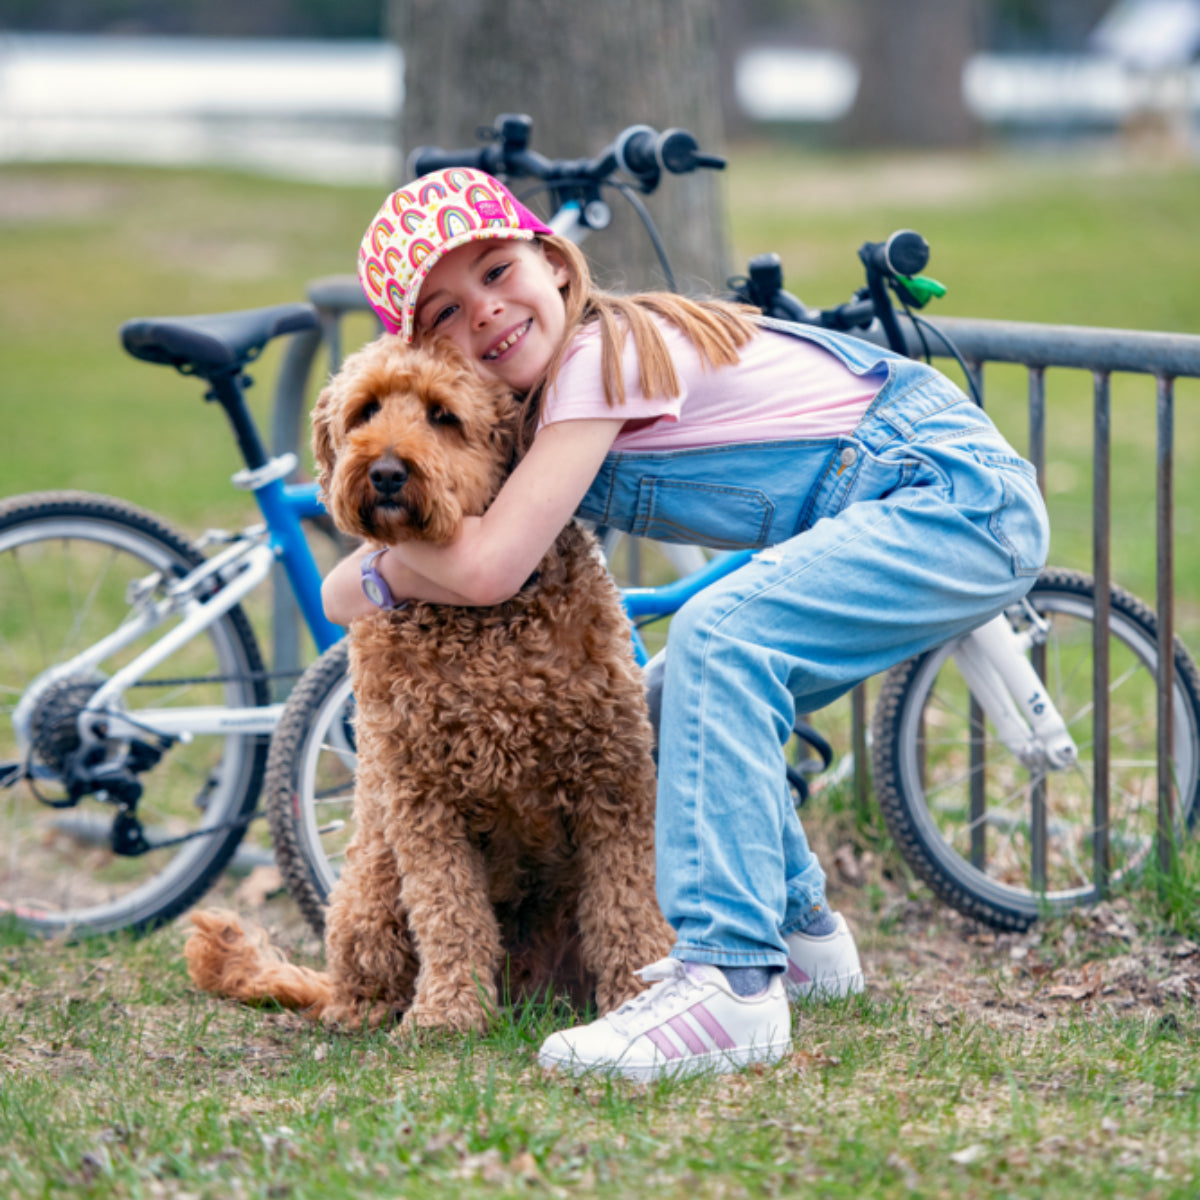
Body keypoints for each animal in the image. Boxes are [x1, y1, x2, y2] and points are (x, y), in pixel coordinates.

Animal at [186, 336, 676, 1032]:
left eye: (443, 415)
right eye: (365, 411)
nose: (386, 471)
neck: (477, 622)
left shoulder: (612, 778)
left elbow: (626, 903)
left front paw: (636, 993)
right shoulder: (423, 797)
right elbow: (450, 911)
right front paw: (449, 1014)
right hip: (370, 887)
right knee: (366, 978)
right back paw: (373, 1011)